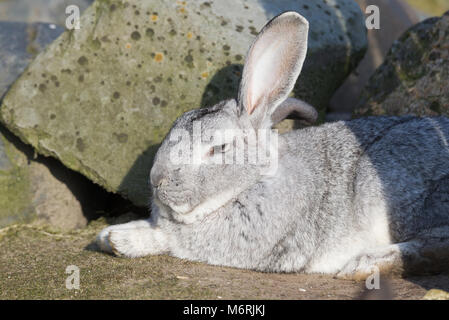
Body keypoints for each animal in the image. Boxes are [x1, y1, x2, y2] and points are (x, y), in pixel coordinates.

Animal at [95, 11, 448, 278]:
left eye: (218, 149)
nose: (156, 179)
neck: (252, 180)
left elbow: (171, 239)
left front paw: (121, 239)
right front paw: (108, 235)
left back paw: (364, 265)